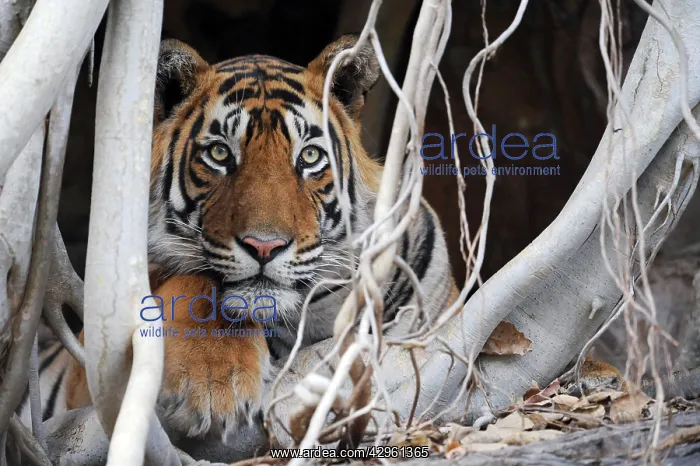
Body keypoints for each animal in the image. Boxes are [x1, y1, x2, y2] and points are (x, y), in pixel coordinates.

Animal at [19, 35, 459, 444]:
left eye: (310, 157)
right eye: (219, 154)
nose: (265, 247)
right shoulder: (88, 381)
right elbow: (194, 280)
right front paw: (212, 386)